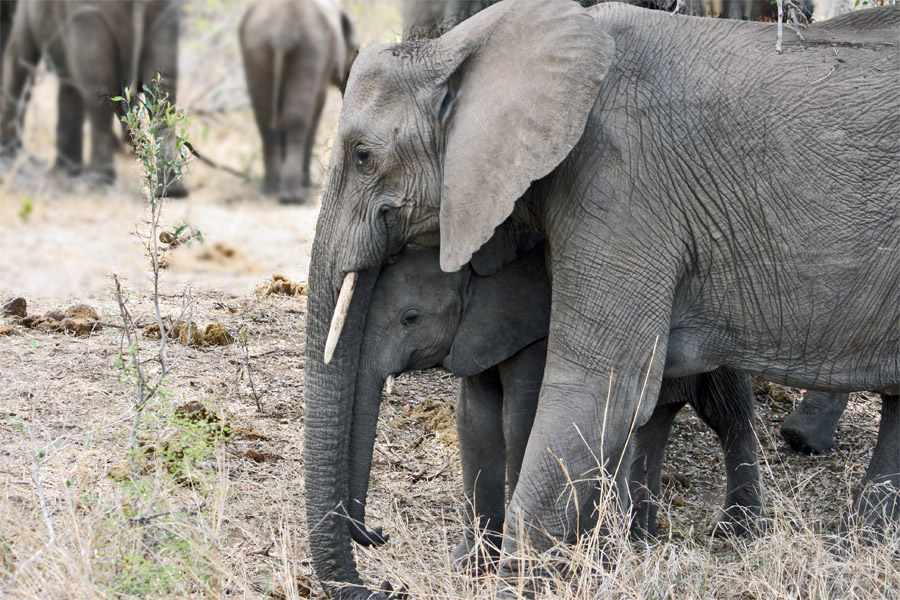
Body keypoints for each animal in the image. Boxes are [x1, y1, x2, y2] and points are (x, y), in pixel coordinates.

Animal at [0, 0, 186, 197]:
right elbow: (68, 83)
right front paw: (64, 173)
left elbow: (19, 57)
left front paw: (8, 159)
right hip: (164, 11)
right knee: (163, 88)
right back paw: (171, 189)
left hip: (90, 13)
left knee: (100, 93)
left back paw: (98, 183)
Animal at [243, 0, 362, 204]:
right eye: (356, 51)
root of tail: (282, 28)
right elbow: (316, 106)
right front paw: (307, 184)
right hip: (309, 48)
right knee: (297, 119)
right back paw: (293, 195)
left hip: (256, 47)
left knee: (265, 120)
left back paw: (270, 189)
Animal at [346, 241, 768, 568]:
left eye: (410, 318)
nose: (379, 532)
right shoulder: (479, 332)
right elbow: (474, 420)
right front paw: (470, 567)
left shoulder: (539, 334)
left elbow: (520, 420)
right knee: (649, 424)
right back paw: (635, 536)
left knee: (727, 413)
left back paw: (733, 529)